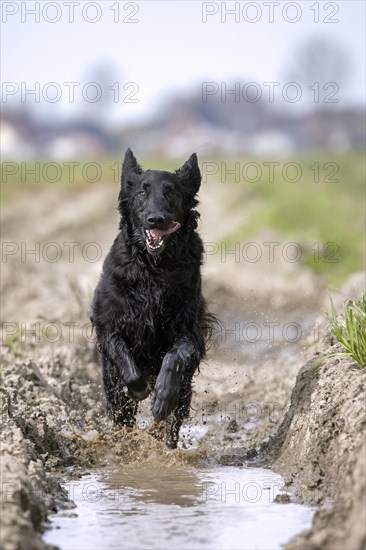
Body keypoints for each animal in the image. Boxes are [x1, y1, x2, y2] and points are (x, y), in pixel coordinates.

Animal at [90, 150, 213, 448]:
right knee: (122, 415)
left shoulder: (190, 331)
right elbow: (127, 365)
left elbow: (174, 357)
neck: (154, 267)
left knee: (173, 422)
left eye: (171, 193)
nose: (156, 220)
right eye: (142, 192)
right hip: (111, 385)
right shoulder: (109, 325)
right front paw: (140, 389)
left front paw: (161, 398)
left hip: (186, 389)